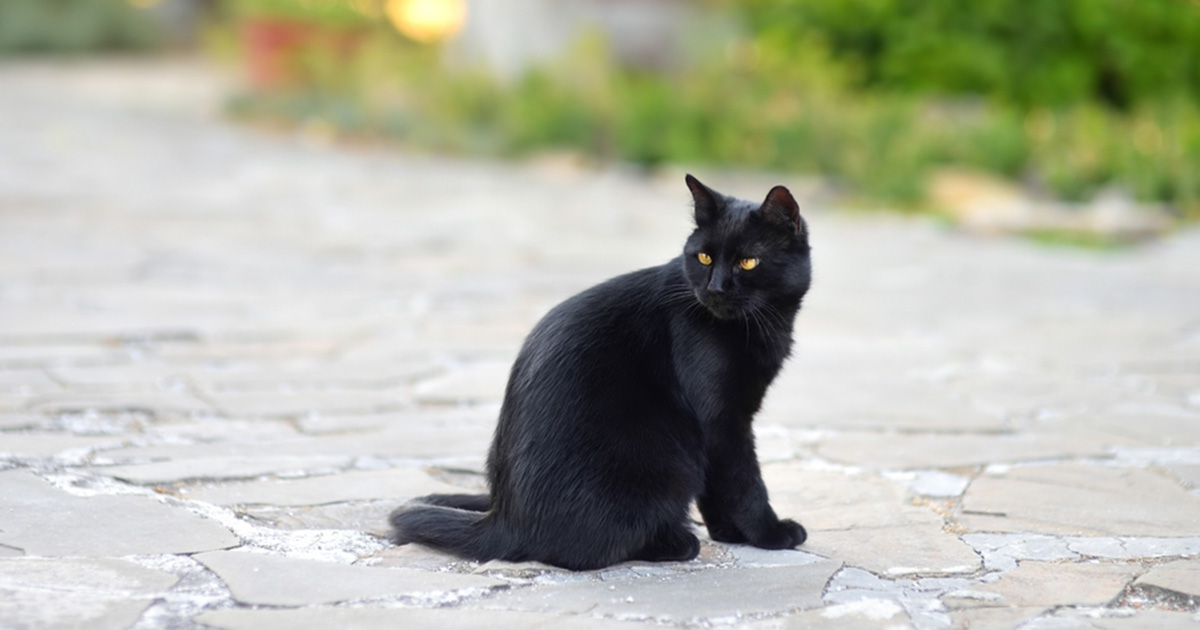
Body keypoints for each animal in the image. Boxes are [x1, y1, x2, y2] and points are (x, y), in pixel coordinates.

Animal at [388, 175, 811, 568]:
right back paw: (676, 542)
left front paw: (729, 533)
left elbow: (717, 490)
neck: (759, 325)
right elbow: (743, 483)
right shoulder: (722, 422)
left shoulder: (725, 424)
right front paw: (771, 534)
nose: (716, 289)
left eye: (748, 262)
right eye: (704, 258)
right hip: (667, 465)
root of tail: (507, 519)